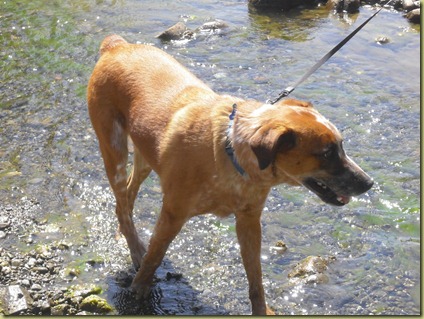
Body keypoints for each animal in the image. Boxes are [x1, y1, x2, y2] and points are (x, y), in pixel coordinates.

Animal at [88, 34, 372, 316]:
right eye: (326, 153)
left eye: (341, 145)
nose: (369, 183)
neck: (229, 154)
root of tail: (117, 46)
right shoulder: (172, 214)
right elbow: (156, 256)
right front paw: (139, 290)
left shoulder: (249, 221)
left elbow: (256, 277)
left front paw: (262, 309)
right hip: (114, 150)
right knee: (122, 203)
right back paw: (137, 251)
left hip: (144, 155)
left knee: (128, 195)